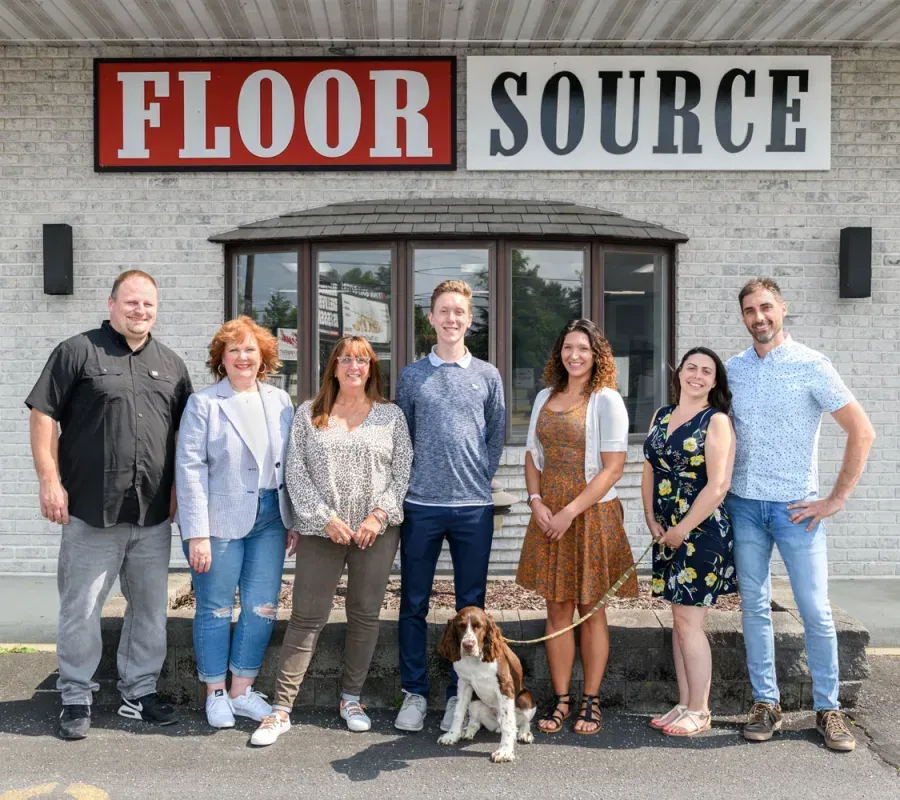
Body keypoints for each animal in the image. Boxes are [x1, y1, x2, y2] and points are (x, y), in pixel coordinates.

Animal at [434, 608, 536, 764]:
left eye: (479, 626)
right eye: (461, 626)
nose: (468, 645)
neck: (475, 660)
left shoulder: (505, 686)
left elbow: (508, 723)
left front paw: (505, 752)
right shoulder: (463, 683)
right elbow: (458, 711)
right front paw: (451, 735)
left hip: (525, 698)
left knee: (522, 722)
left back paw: (525, 733)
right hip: (475, 700)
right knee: (476, 721)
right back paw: (467, 730)